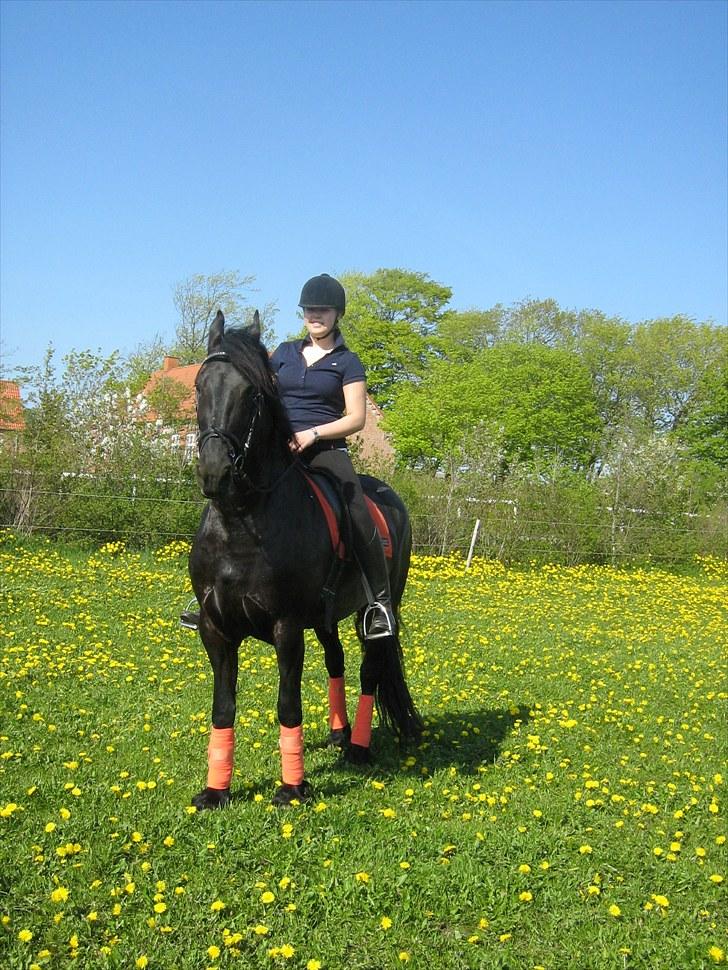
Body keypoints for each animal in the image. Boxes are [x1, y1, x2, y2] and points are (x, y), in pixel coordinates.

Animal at [189, 312, 420, 808]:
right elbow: (223, 707)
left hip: (378, 609)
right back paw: (338, 734)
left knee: (370, 669)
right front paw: (215, 791)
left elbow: (287, 704)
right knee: (336, 660)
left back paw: (357, 748)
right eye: (199, 385)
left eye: (251, 393)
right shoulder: (216, 630)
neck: (242, 522)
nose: (215, 472)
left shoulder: (287, 628)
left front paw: (292, 787)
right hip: (326, 617)